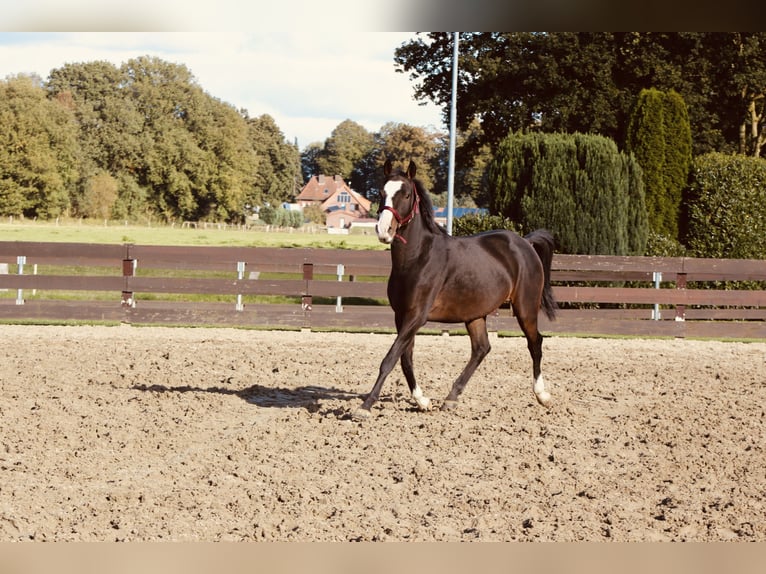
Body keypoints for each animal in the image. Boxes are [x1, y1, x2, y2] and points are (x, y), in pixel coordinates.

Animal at [352, 160, 560, 420]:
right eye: (381, 193)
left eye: (407, 194)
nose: (384, 231)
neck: (417, 258)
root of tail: (525, 243)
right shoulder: (401, 316)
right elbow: (405, 359)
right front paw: (423, 401)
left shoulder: (416, 316)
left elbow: (390, 359)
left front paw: (365, 406)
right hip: (475, 314)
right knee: (481, 348)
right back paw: (451, 398)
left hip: (525, 308)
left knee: (535, 343)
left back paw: (543, 396)